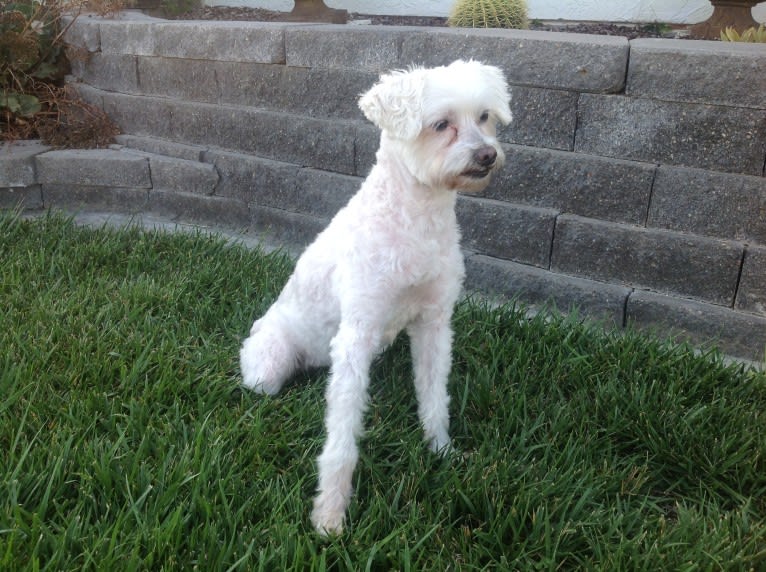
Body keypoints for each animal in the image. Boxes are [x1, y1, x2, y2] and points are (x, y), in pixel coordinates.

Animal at [240, 60, 512, 536]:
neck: (414, 219)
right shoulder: (357, 333)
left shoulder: (435, 323)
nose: (487, 155)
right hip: (268, 366)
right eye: (440, 124)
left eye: (484, 117)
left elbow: (434, 397)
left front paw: (440, 450)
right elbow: (342, 437)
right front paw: (330, 515)